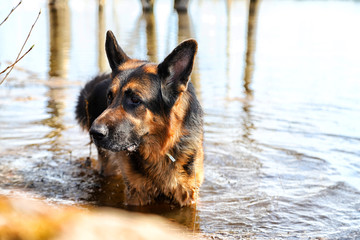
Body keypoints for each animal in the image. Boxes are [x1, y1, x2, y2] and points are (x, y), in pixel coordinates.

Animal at [76, 30, 204, 206]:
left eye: (135, 99)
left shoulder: (187, 195)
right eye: (109, 97)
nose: (95, 132)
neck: (160, 150)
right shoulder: (136, 194)